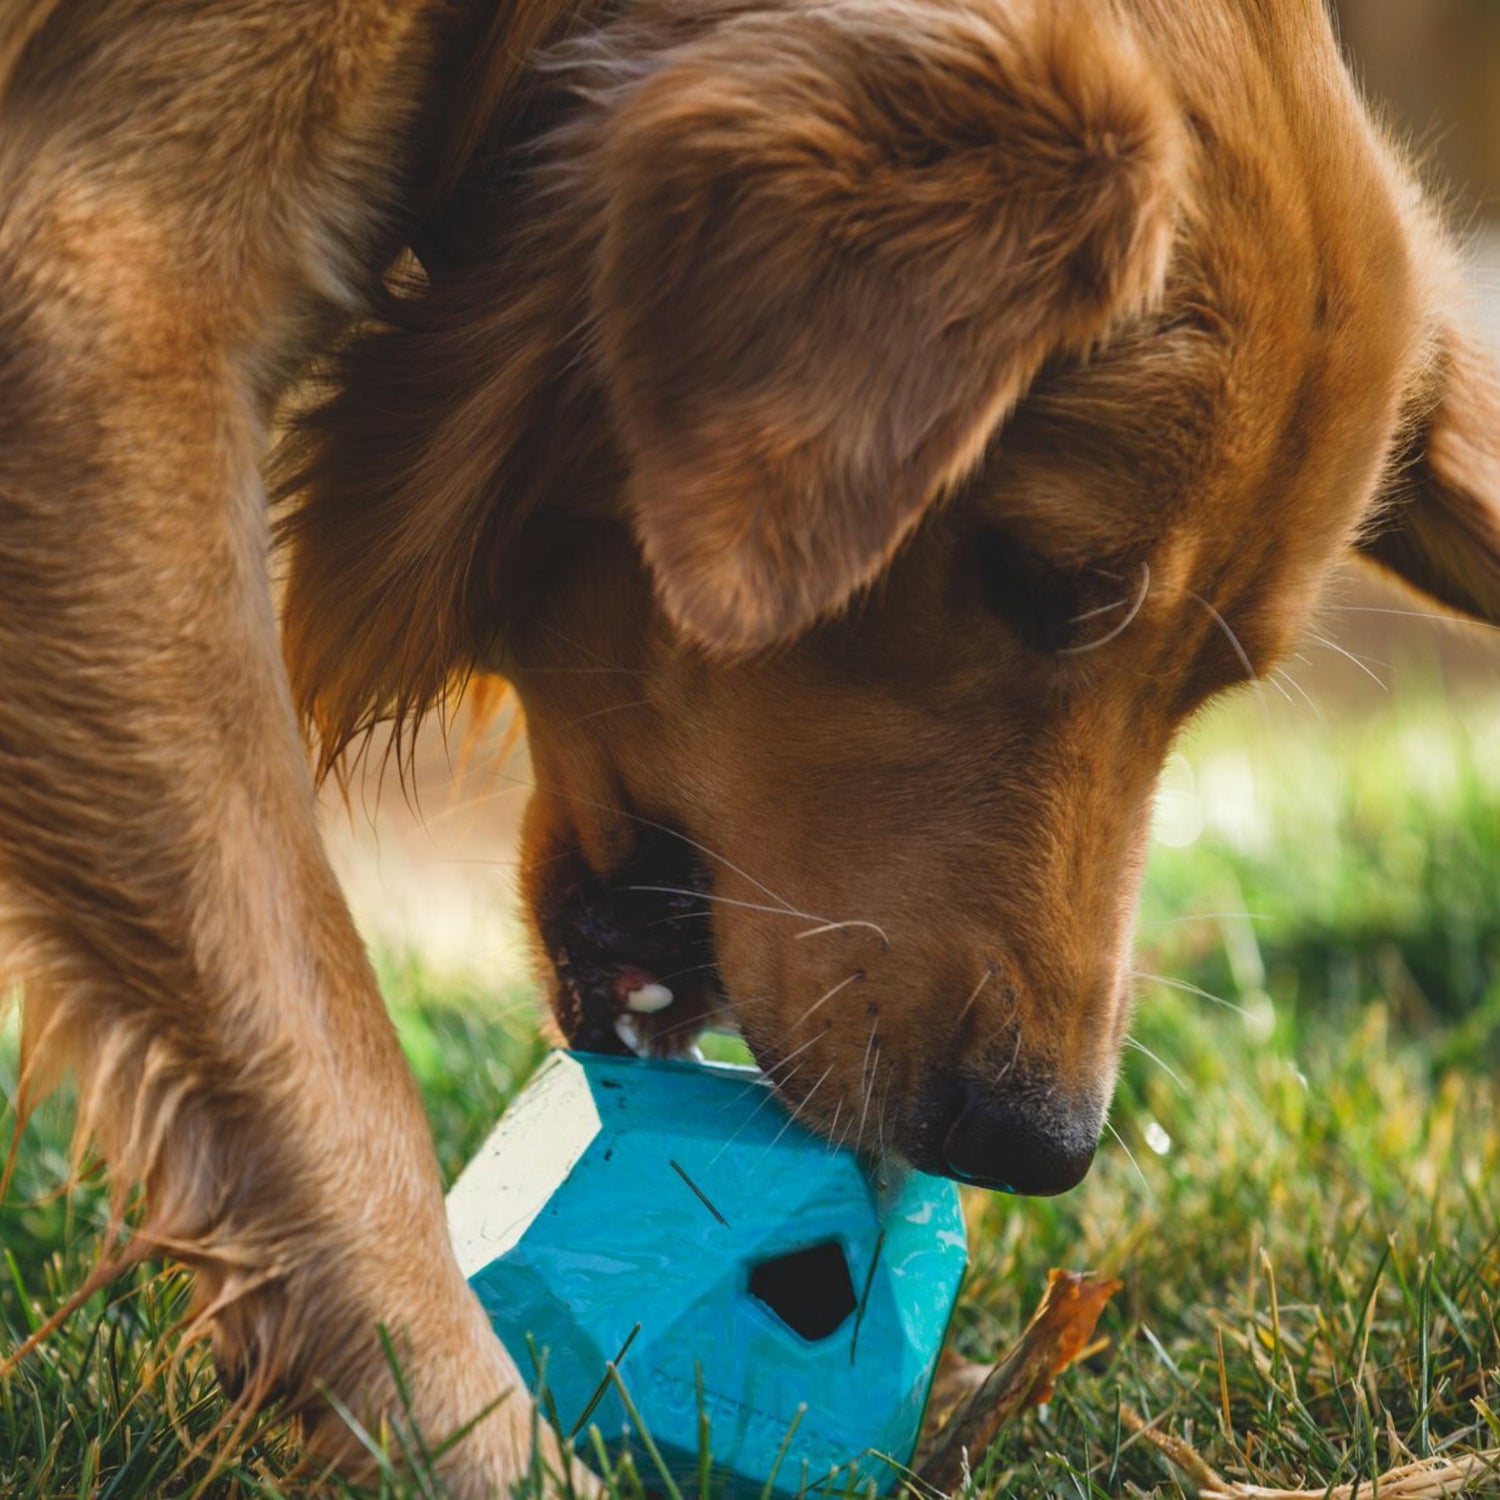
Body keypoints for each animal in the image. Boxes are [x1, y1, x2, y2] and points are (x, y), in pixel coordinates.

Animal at [2, 0, 1500, 1488]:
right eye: (1036, 579)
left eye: (1213, 683)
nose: (1037, 1147)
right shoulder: (103, 307)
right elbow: (320, 1040)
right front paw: (471, 1432)